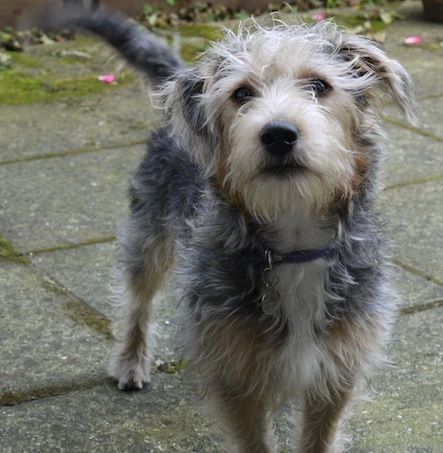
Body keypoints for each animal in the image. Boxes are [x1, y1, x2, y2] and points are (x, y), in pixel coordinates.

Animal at [63, 8, 416, 450]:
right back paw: (130, 361)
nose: (278, 133)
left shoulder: (338, 371)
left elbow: (319, 435)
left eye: (320, 85)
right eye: (242, 94)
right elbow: (255, 438)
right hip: (149, 233)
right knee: (137, 300)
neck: (294, 242)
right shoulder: (236, 376)